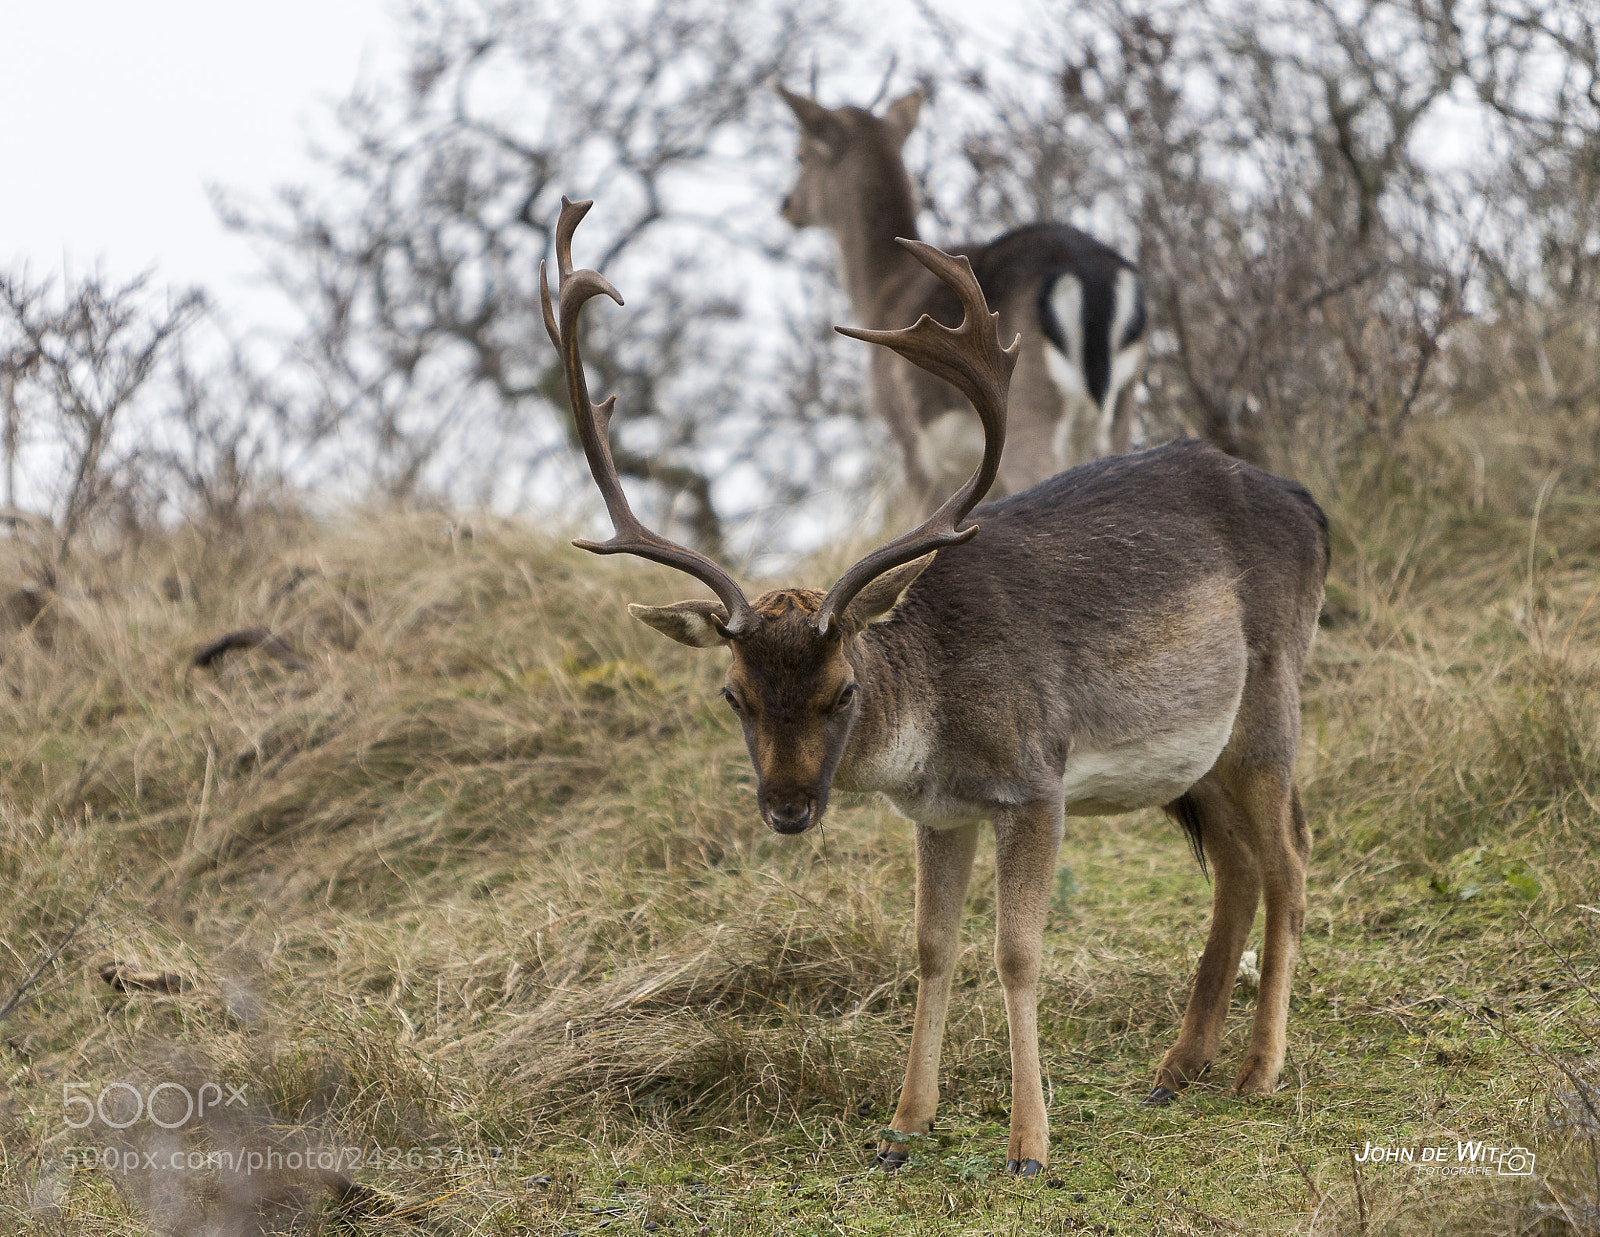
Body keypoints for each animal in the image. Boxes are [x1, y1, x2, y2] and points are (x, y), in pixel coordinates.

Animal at [542, 197, 1328, 1176]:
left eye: (843, 688)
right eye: (733, 695)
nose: (789, 807)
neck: (936, 727)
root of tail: (1312, 510)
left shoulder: (1034, 781)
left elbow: (1017, 952)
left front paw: (1029, 1143)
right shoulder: (939, 811)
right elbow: (930, 947)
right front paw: (903, 1126)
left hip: (1271, 698)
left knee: (1291, 854)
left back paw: (1260, 1070)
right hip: (1196, 754)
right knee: (1238, 862)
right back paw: (1177, 1067)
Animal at [778, 86, 1148, 509]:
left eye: (801, 154)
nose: (786, 204)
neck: (882, 291)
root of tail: (1089, 275)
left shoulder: (911, 445)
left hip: (1029, 409)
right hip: (1122, 405)